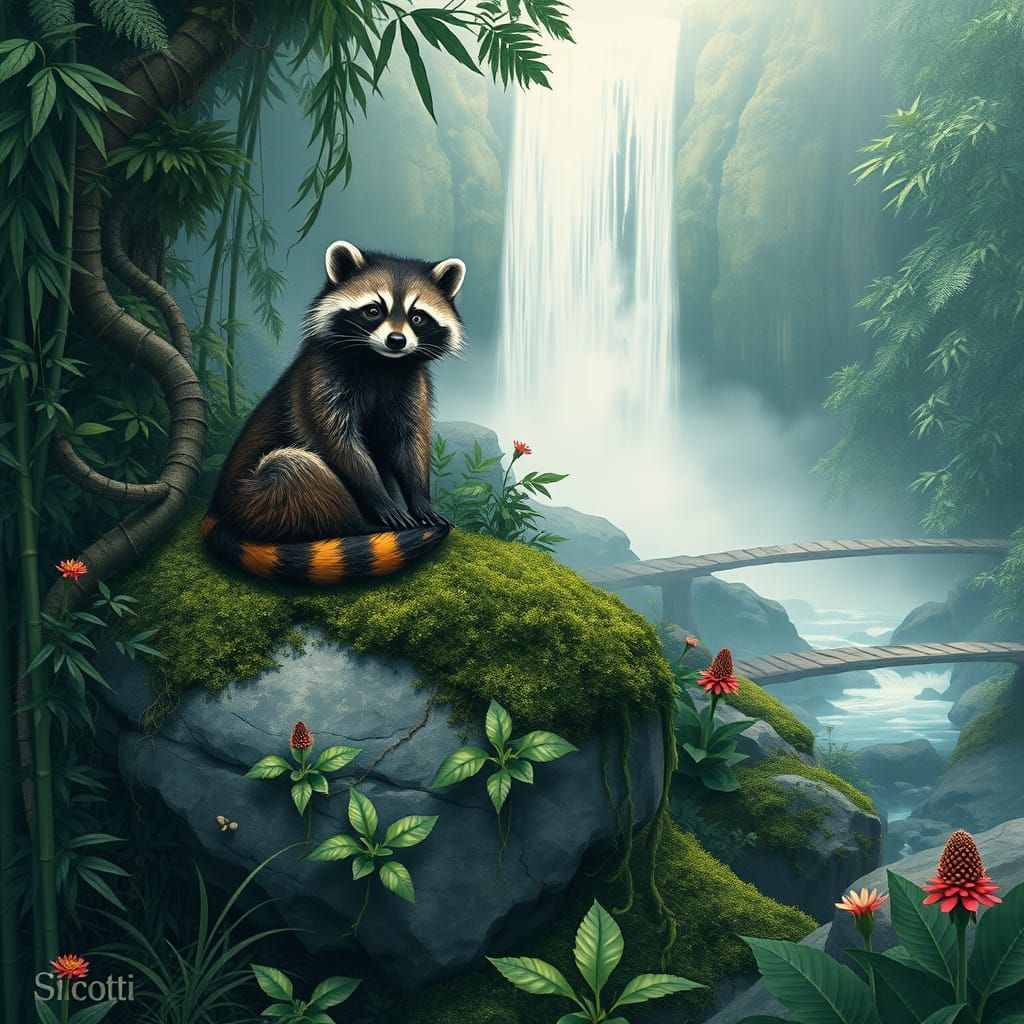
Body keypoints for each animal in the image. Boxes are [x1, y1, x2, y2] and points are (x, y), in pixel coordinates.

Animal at [202, 240, 465, 585]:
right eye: (373, 310)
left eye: (418, 317)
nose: (396, 340)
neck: (382, 363)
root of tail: (216, 509)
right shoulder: (320, 377)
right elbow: (338, 443)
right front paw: (381, 499)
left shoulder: (411, 384)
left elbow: (409, 441)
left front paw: (421, 499)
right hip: (252, 496)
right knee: (292, 470)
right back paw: (361, 525)